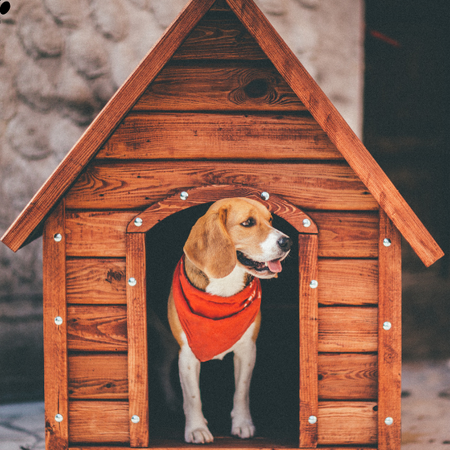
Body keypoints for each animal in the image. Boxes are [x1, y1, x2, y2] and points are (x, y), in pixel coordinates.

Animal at [168, 197, 292, 442]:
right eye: (248, 223)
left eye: (270, 220)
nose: (288, 241)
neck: (225, 286)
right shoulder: (187, 354)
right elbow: (193, 396)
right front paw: (197, 429)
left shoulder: (247, 349)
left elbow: (241, 391)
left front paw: (242, 424)